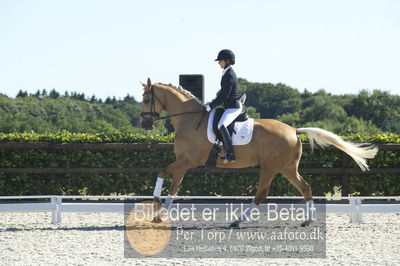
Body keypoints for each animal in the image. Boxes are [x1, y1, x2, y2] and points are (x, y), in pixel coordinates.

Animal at [140, 78, 378, 228]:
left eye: (146, 99)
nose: (144, 125)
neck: (189, 120)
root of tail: (293, 130)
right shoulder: (183, 162)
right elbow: (173, 187)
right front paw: (159, 215)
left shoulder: (187, 161)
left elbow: (162, 173)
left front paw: (155, 201)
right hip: (287, 168)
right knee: (305, 187)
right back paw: (308, 221)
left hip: (270, 168)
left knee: (261, 194)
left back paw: (237, 221)